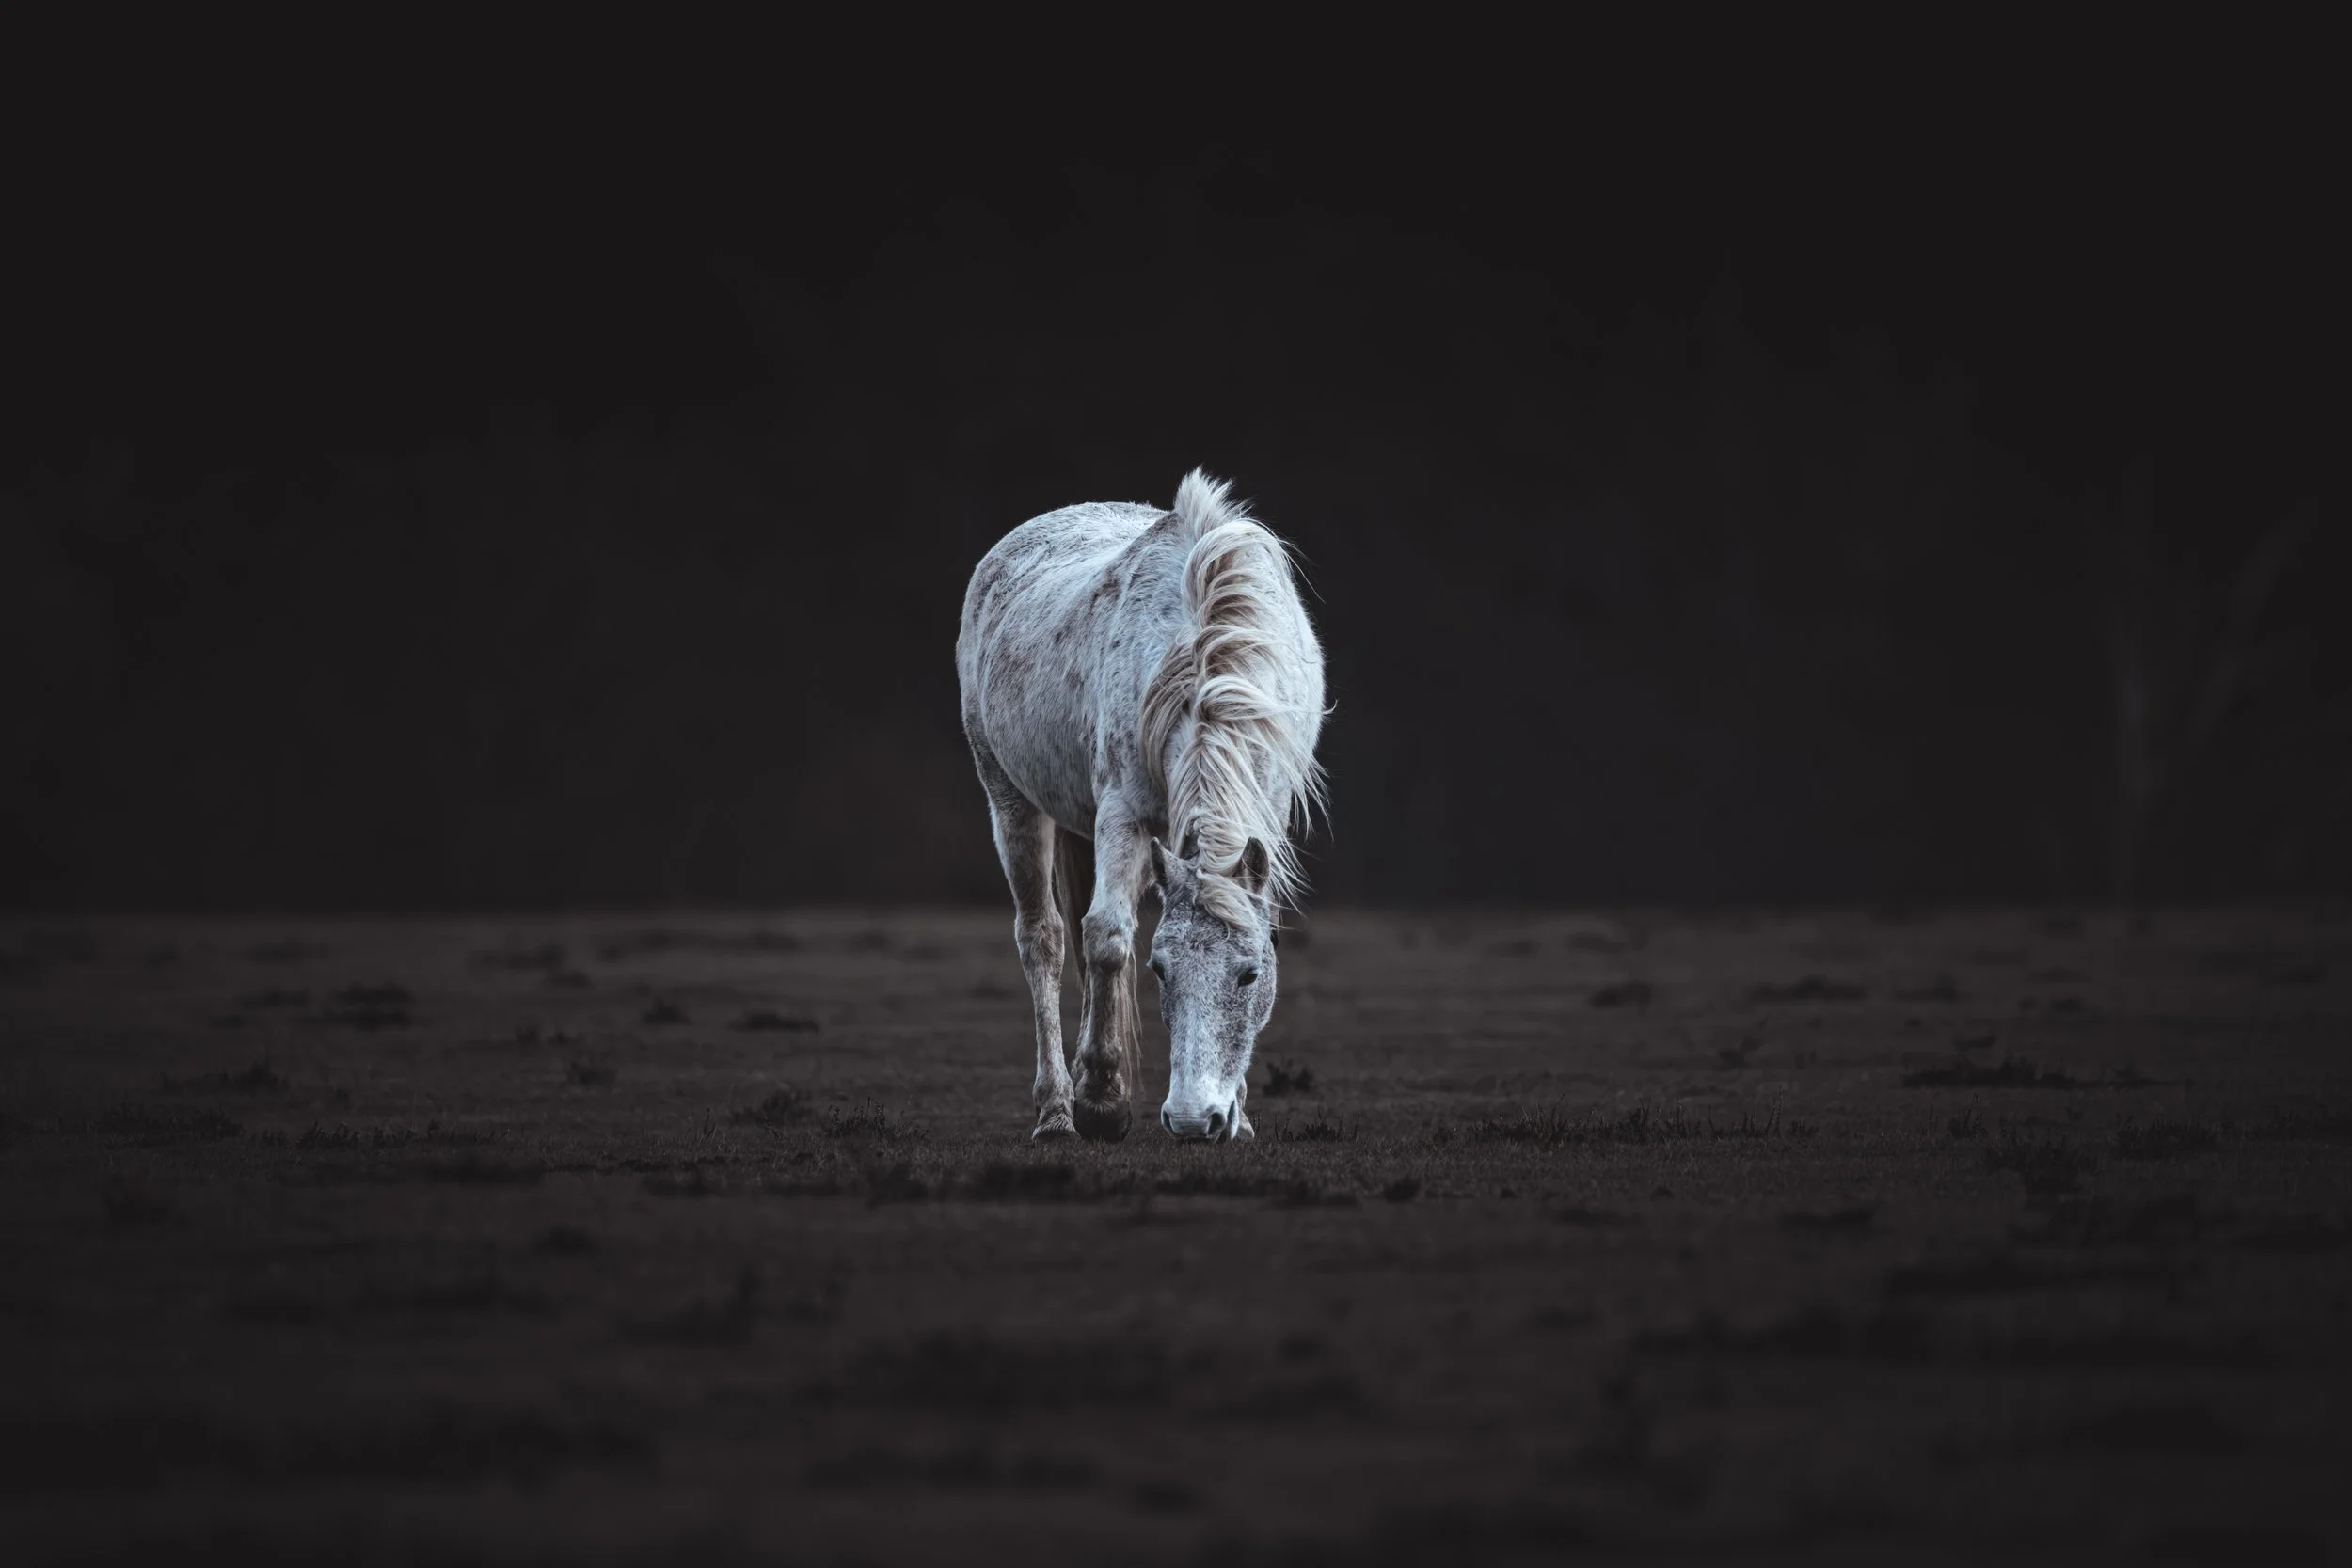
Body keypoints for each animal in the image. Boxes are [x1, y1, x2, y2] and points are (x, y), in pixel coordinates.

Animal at [956, 470, 1326, 1142]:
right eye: (1160, 970)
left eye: (1249, 974)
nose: (1196, 1120)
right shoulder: (1122, 814)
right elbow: (1106, 938)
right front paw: (1102, 1103)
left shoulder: (1268, 811)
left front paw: (1241, 1118)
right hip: (1011, 802)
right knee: (1044, 939)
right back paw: (1057, 1108)